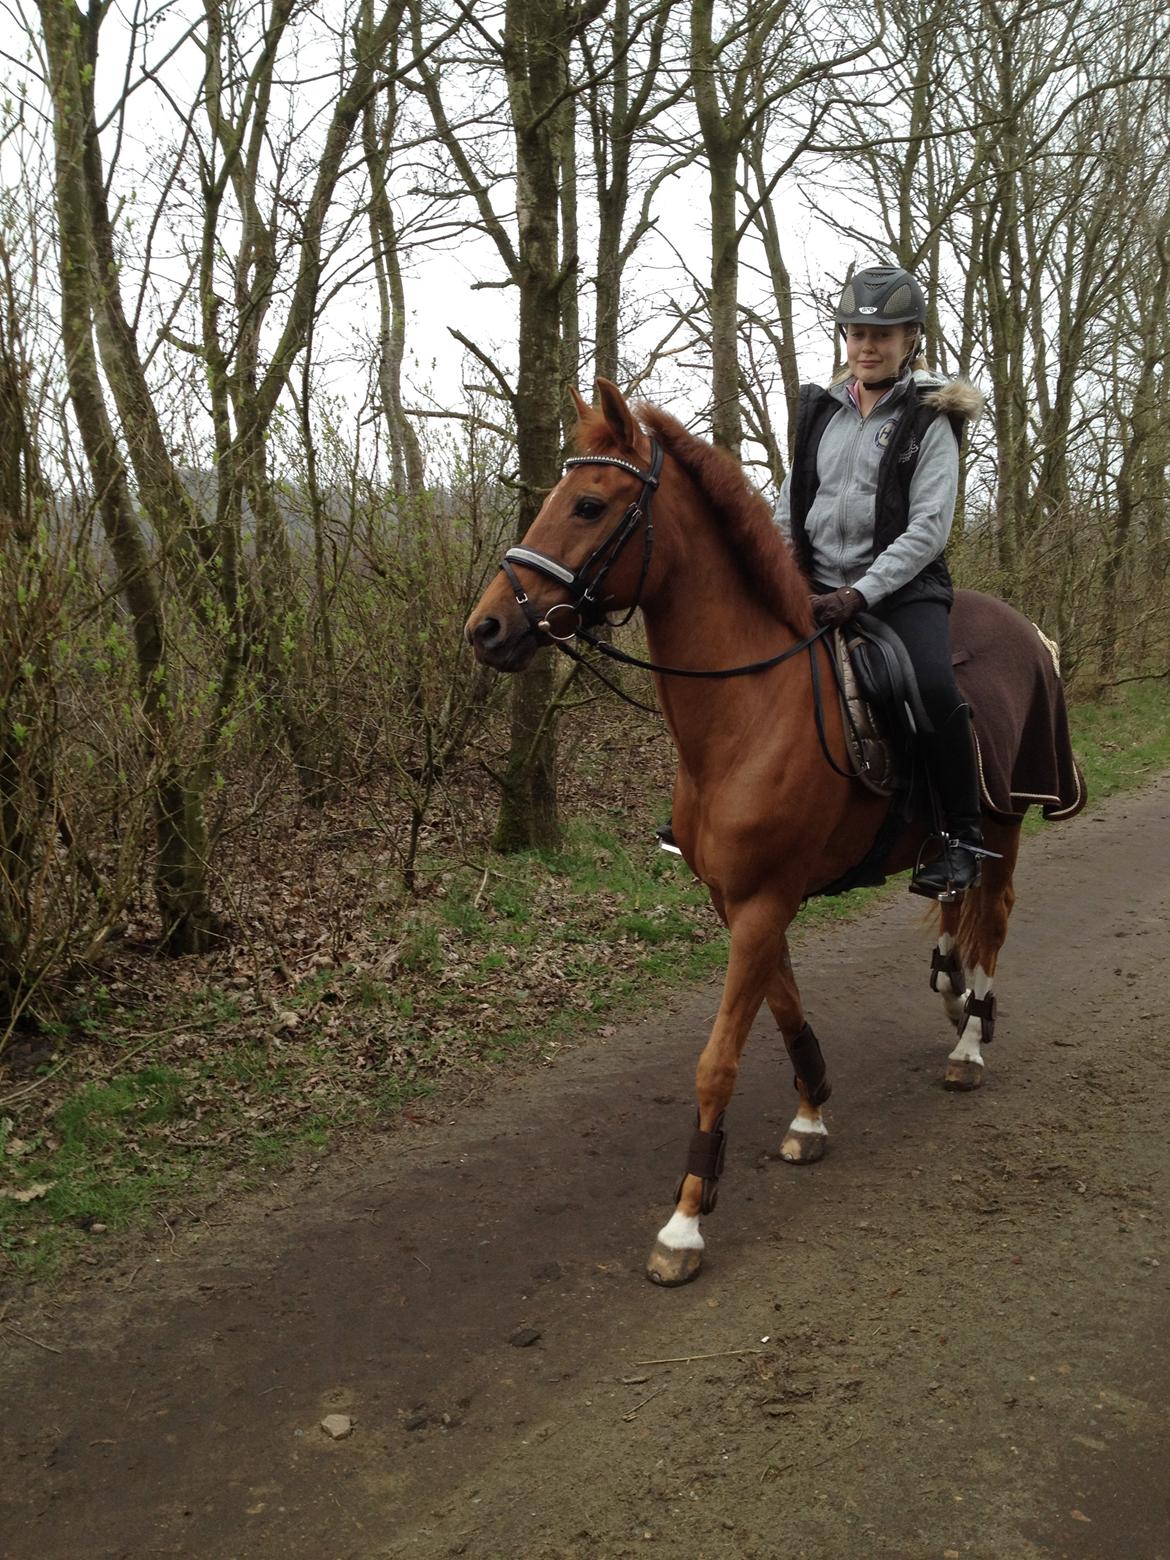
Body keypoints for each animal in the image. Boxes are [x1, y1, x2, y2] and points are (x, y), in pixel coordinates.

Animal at [461, 380, 1085, 1291]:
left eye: (587, 504)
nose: (487, 629)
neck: (748, 710)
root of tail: (1029, 633)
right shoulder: (743, 900)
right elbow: (785, 1007)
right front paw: (812, 1111)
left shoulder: (764, 901)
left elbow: (718, 1058)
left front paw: (685, 1222)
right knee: (956, 911)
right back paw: (950, 993)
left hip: (1004, 821)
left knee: (993, 917)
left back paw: (971, 1040)